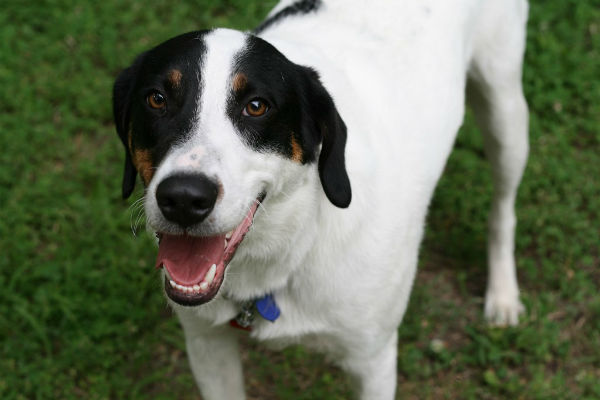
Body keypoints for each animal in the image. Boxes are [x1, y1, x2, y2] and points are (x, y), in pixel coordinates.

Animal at [112, 1, 528, 398]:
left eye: (257, 106)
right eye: (157, 98)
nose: (183, 198)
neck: (292, 245)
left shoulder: (372, 360)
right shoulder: (207, 344)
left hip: (504, 110)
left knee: (504, 207)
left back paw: (503, 295)